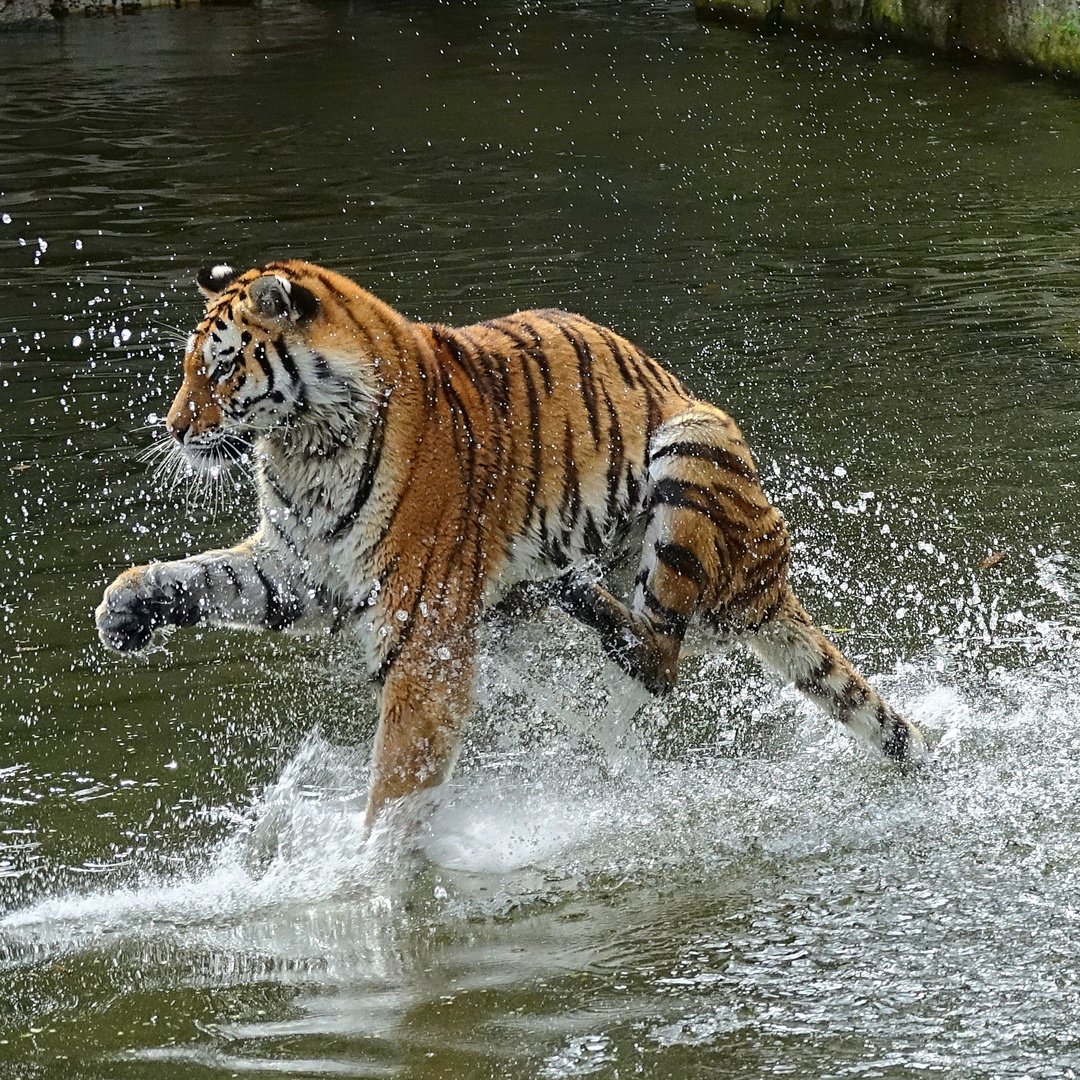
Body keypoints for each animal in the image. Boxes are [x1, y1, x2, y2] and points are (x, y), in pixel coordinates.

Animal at [96, 259, 929, 826]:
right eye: (188, 366)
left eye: (221, 367)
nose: (174, 429)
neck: (304, 448)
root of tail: (769, 574)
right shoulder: (300, 565)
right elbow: (207, 577)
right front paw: (123, 608)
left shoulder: (422, 629)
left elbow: (398, 780)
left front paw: (375, 874)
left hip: (693, 447)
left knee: (659, 657)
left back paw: (571, 594)